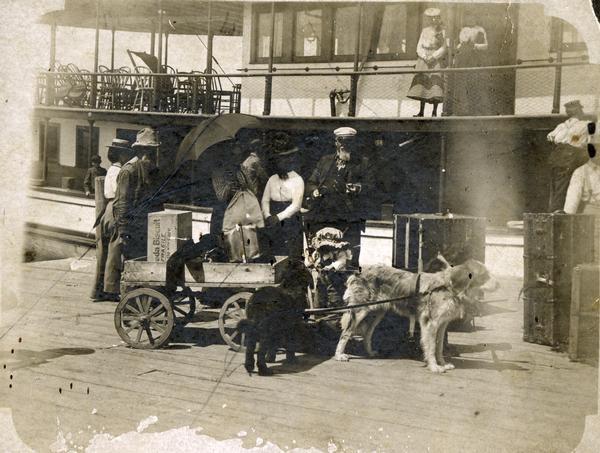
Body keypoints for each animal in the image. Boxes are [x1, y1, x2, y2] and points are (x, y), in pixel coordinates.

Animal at [336, 258, 500, 370]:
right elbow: (431, 347)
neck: (448, 286)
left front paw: (442, 364)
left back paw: (370, 352)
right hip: (360, 311)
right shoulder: (431, 323)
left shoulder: (442, 324)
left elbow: (439, 346)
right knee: (346, 333)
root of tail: (357, 272)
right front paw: (434, 367)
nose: (499, 284)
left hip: (378, 312)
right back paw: (339, 355)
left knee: (368, 333)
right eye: (485, 276)